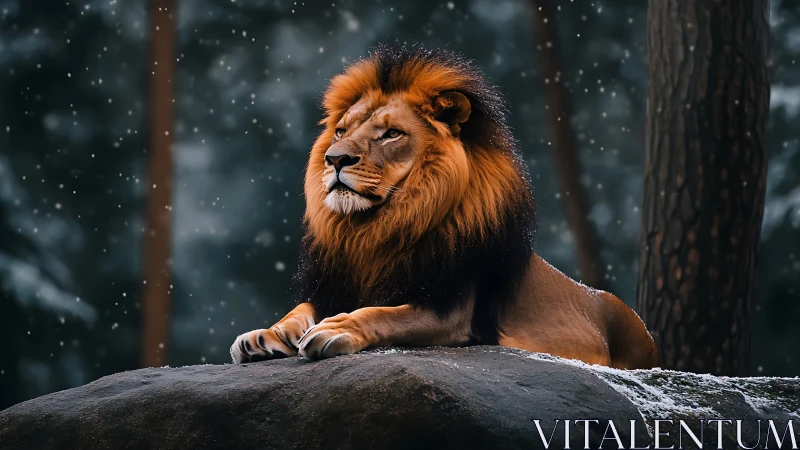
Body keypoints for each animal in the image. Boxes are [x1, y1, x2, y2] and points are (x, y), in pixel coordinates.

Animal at [230, 44, 658, 370]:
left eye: (391, 134)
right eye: (340, 131)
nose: (333, 159)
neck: (372, 230)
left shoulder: (451, 310)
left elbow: (383, 313)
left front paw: (337, 329)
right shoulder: (336, 284)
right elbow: (299, 308)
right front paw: (265, 334)